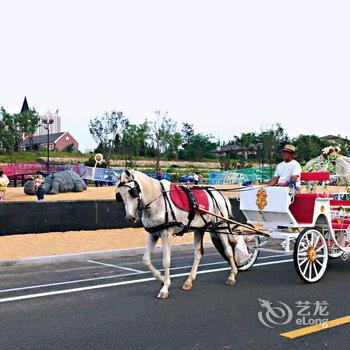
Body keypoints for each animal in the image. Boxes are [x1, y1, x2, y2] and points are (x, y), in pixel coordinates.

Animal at [116, 170, 242, 298]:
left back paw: (232, 275)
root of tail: (220, 195)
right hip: (200, 229)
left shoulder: (166, 233)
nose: (130, 217)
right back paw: (189, 281)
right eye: (120, 195)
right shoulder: (153, 234)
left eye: (132, 192)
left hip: (220, 225)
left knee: (228, 250)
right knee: (198, 253)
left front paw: (165, 287)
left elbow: (166, 261)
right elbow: (146, 260)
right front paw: (161, 278)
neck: (158, 201)